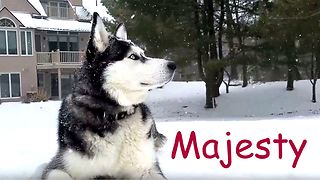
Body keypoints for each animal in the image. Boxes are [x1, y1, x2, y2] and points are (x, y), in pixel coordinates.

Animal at [41, 12, 176, 179]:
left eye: (143, 54)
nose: (173, 65)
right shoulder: (58, 166)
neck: (116, 114)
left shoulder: (148, 168)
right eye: (133, 56)